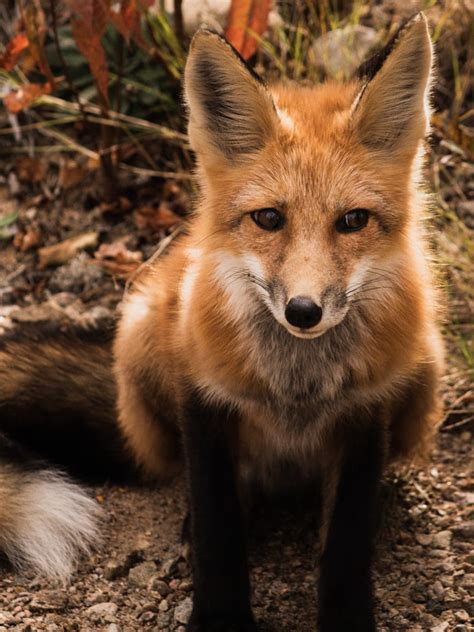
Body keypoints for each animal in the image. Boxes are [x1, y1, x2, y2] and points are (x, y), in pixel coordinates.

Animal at [0, 13, 444, 632]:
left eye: (353, 220)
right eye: (269, 218)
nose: (303, 311)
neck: (295, 388)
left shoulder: (366, 411)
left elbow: (347, 543)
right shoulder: (204, 398)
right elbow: (218, 531)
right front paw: (219, 616)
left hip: (426, 365)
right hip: (141, 335)